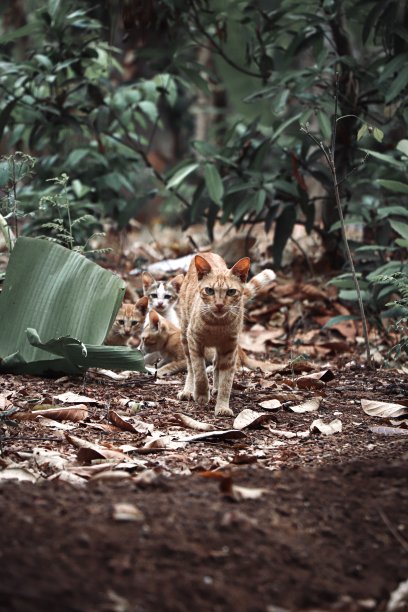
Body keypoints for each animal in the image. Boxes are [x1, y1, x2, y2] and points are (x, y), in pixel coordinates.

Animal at [179, 252, 252, 416]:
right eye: (209, 290)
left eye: (231, 292)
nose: (219, 304)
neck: (217, 325)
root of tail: (207, 252)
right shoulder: (194, 340)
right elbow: (199, 371)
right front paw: (200, 395)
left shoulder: (229, 348)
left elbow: (227, 382)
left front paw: (222, 406)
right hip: (184, 334)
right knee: (190, 367)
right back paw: (188, 390)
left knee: (216, 364)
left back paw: (216, 389)